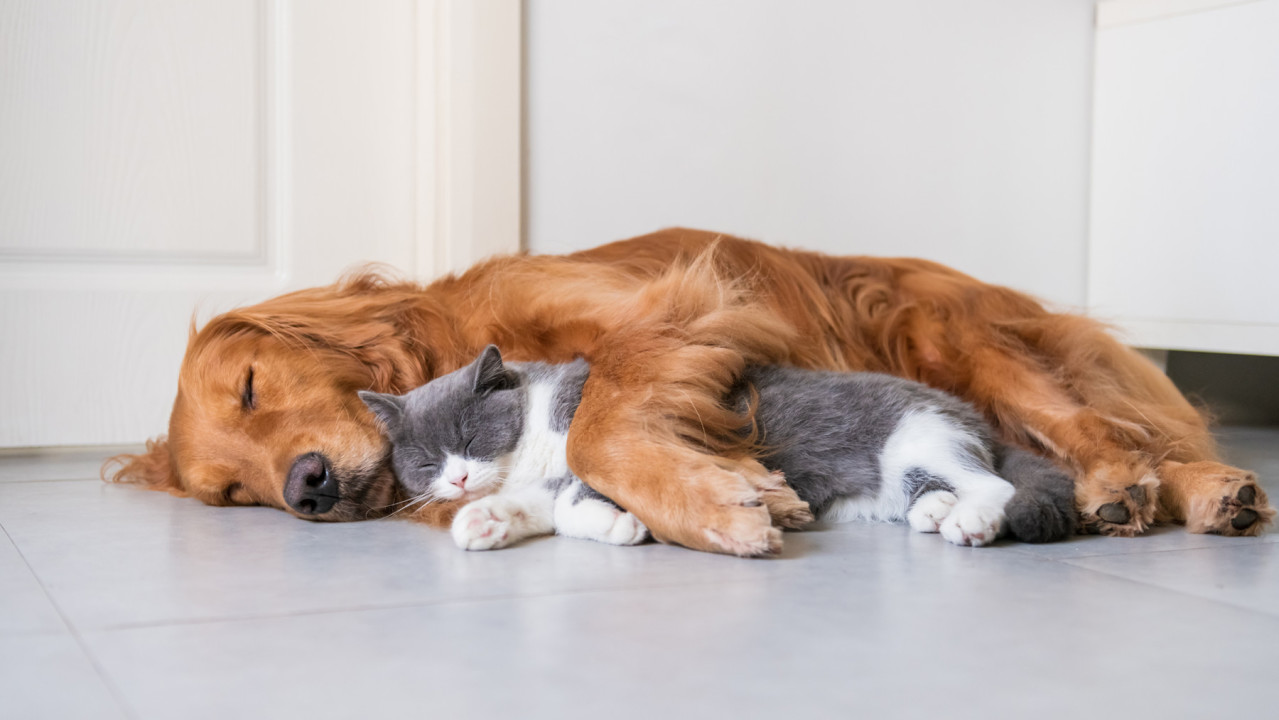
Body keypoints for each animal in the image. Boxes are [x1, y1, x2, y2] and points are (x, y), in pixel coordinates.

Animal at [363, 345, 1079, 549]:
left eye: (467, 437)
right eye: (425, 463)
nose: (456, 479)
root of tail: (971, 412)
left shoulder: (613, 445)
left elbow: (573, 501)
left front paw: (621, 524)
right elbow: (542, 508)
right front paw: (482, 522)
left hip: (918, 438)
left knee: (996, 485)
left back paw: (971, 520)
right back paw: (934, 511)